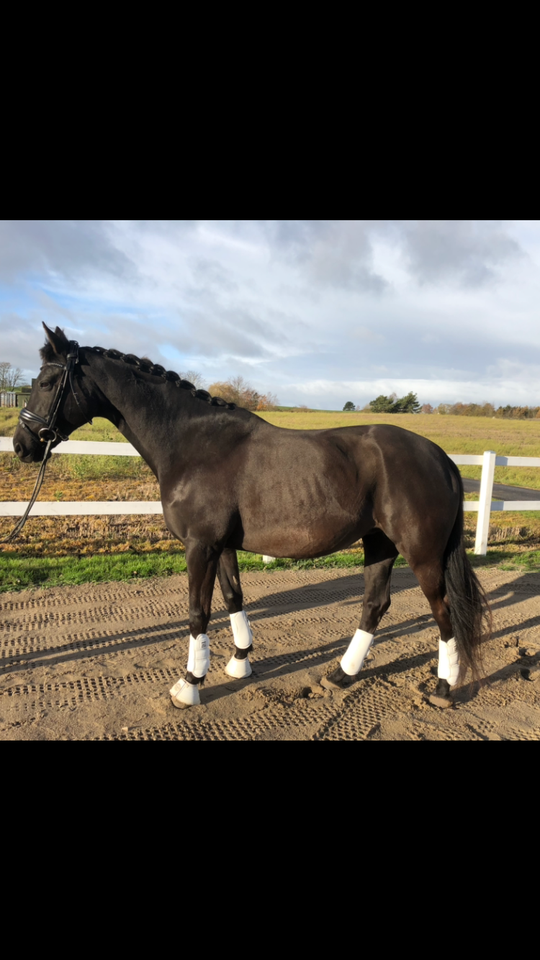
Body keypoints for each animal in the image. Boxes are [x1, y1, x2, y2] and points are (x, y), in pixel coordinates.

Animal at [14, 326, 492, 708]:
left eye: (49, 380)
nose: (22, 445)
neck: (193, 443)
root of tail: (439, 457)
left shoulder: (200, 546)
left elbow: (197, 612)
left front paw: (190, 684)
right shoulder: (221, 546)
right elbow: (233, 599)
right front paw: (240, 662)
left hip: (422, 554)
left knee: (444, 611)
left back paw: (444, 688)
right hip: (378, 543)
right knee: (375, 605)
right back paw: (342, 674)